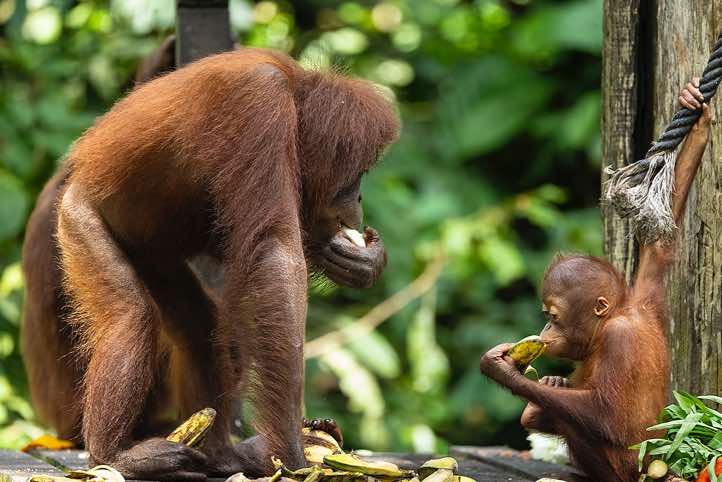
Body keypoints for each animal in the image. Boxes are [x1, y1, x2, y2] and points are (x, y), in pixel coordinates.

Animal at [21, 47, 399, 481]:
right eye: (358, 174)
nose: (359, 199)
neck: (293, 90)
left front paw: (364, 261)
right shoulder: (259, 103)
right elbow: (274, 253)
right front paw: (290, 452)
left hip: (154, 258)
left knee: (198, 327)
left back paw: (220, 454)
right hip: (78, 221)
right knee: (131, 317)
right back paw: (114, 456)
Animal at [479, 80, 712, 482]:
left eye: (553, 316)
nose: (545, 330)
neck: (611, 322)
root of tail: (664, 463)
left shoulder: (620, 340)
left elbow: (606, 416)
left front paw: (503, 372)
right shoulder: (644, 296)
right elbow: (660, 242)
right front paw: (698, 120)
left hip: (628, 469)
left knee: (577, 423)